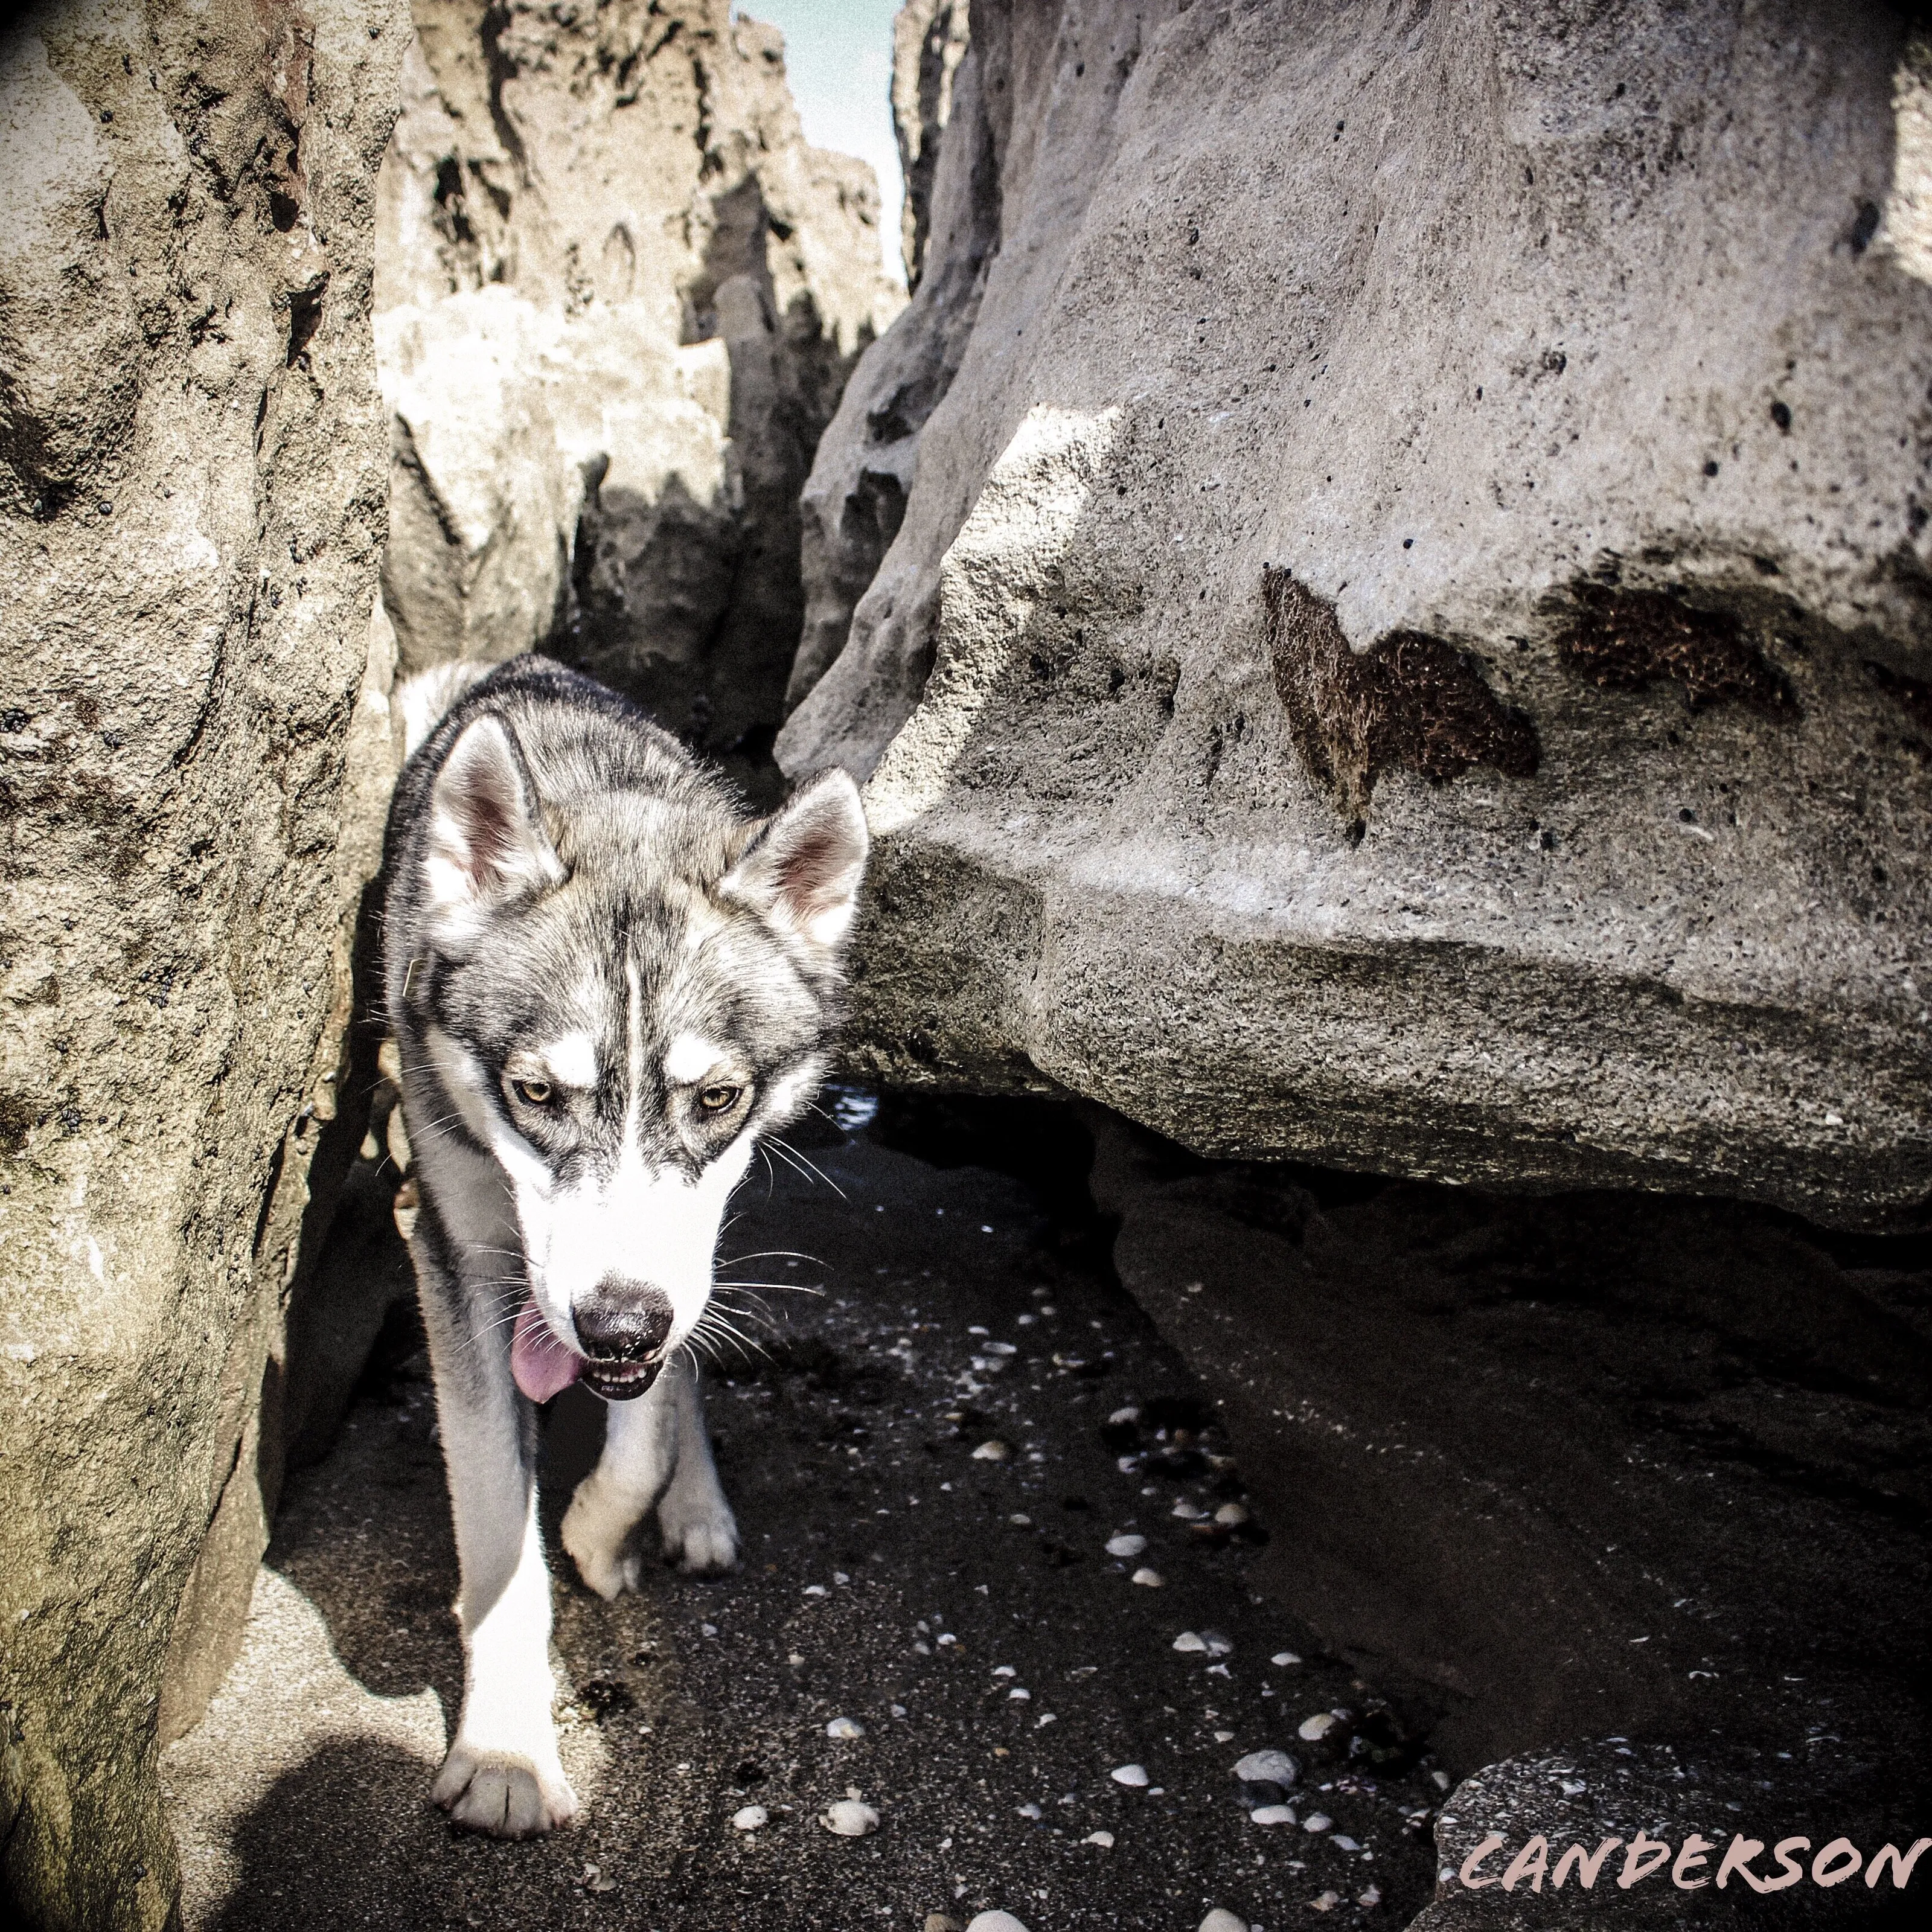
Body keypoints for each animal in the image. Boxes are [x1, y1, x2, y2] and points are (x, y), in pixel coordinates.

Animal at [380, 653, 868, 1837]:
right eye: (536, 1094)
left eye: (718, 1097)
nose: (614, 1324)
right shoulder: (454, 1248)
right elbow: (497, 1526)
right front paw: (508, 1752)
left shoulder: (675, 1259)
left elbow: (647, 1418)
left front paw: (609, 1530)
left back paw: (694, 1502)